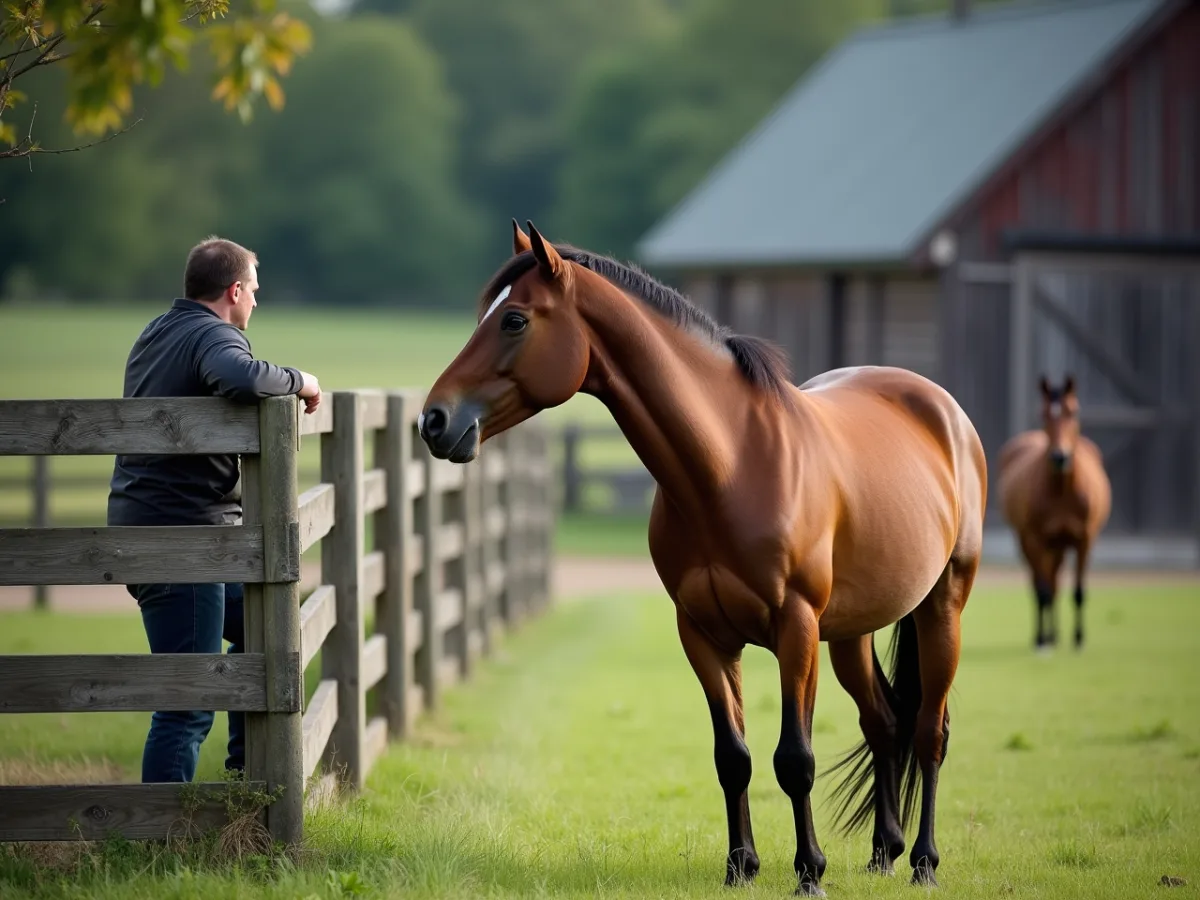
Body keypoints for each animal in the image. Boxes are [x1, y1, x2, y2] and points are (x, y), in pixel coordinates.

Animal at [417, 220, 988, 895]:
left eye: (514, 321)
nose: (434, 420)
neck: (731, 465)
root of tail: (942, 409)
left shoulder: (796, 628)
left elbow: (795, 758)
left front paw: (809, 872)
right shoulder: (703, 633)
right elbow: (732, 757)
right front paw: (741, 866)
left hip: (940, 608)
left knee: (929, 731)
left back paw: (923, 860)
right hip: (853, 631)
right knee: (884, 723)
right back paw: (884, 852)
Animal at [997, 375, 1111, 651]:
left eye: (1074, 411)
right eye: (1044, 413)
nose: (1060, 457)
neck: (1061, 490)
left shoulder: (1085, 539)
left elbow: (1078, 591)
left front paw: (1079, 638)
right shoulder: (1035, 539)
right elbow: (1042, 591)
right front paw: (1041, 640)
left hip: (1059, 546)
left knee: (1057, 583)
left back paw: (1056, 634)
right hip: (1030, 543)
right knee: (1043, 585)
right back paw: (1046, 635)